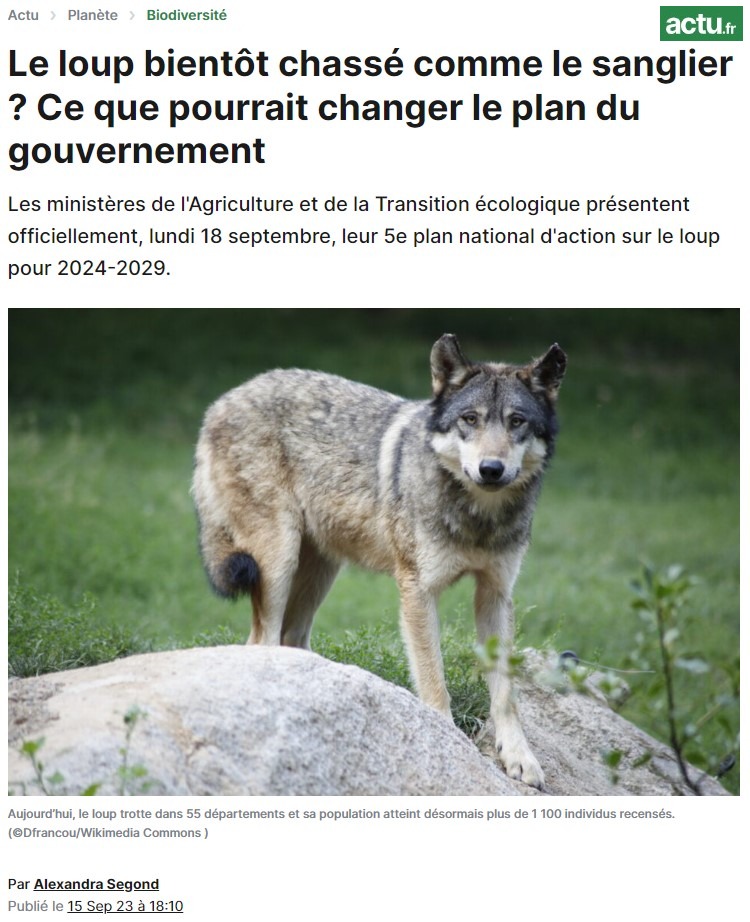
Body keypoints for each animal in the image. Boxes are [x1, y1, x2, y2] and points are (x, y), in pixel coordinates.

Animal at [192, 334, 566, 788]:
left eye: (516, 422)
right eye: (470, 419)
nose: (490, 469)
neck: (477, 518)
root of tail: (221, 401)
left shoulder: (496, 594)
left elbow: (506, 693)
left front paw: (519, 757)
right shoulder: (418, 591)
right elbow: (433, 680)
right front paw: (445, 742)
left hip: (319, 574)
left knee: (290, 639)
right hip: (277, 560)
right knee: (260, 641)